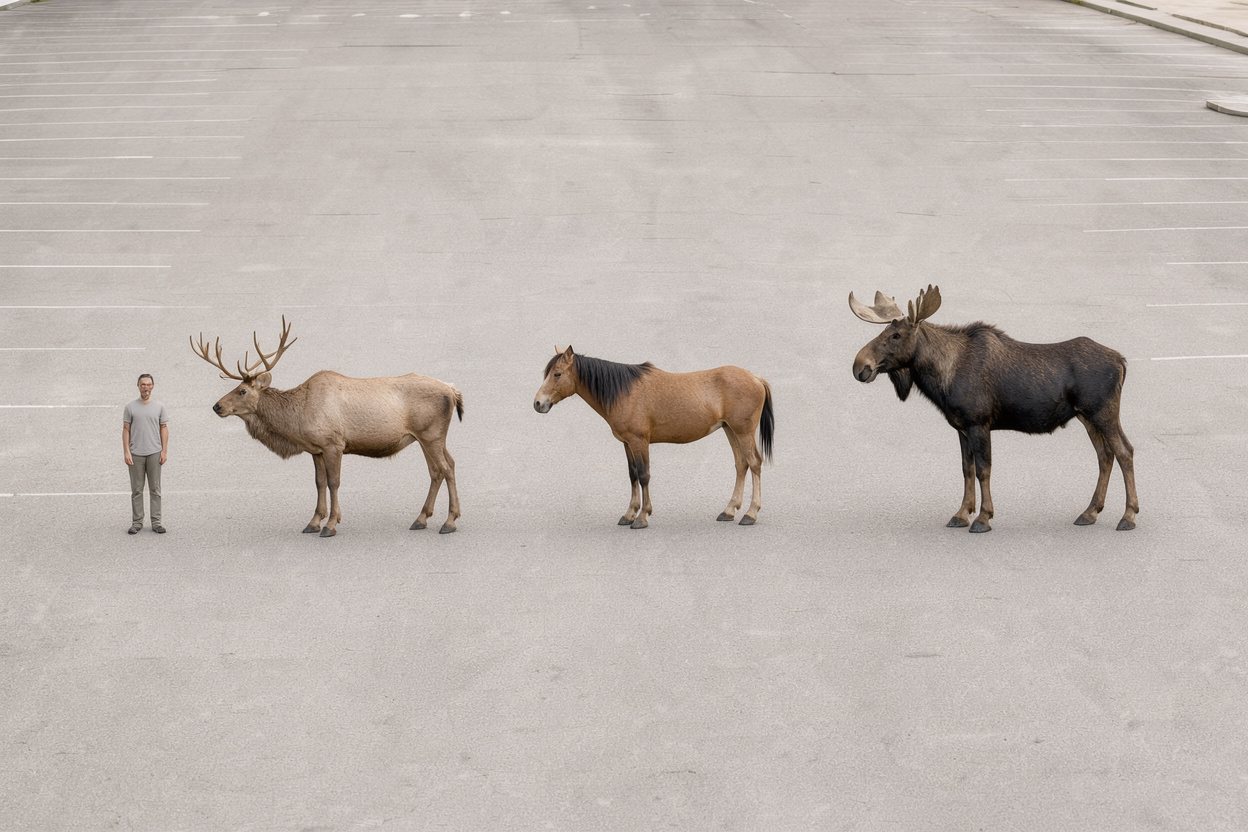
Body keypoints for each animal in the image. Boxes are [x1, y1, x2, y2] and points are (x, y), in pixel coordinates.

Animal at [190, 318, 463, 537]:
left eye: (242, 391)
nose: (217, 406)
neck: (297, 420)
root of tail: (452, 390)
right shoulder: (316, 449)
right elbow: (319, 482)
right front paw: (313, 522)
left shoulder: (334, 443)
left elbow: (334, 482)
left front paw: (331, 525)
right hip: (429, 437)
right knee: (440, 468)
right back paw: (421, 518)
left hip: (430, 434)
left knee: (445, 468)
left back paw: (449, 522)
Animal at [533, 346, 774, 528]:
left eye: (557, 374)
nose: (538, 403)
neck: (624, 392)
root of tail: (756, 378)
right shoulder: (627, 443)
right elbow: (632, 475)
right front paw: (629, 513)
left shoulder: (639, 441)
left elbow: (644, 475)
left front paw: (642, 517)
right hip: (730, 430)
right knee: (741, 464)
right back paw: (729, 510)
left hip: (742, 431)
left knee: (754, 463)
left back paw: (751, 514)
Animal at [849, 285, 1138, 533]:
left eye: (896, 335)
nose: (860, 366)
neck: (942, 379)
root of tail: (1122, 362)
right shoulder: (961, 427)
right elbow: (966, 469)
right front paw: (961, 514)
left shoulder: (979, 423)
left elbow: (983, 470)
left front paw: (983, 517)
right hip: (1086, 416)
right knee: (1105, 455)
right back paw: (1090, 512)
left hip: (1103, 413)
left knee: (1124, 452)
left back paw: (1128, 516)